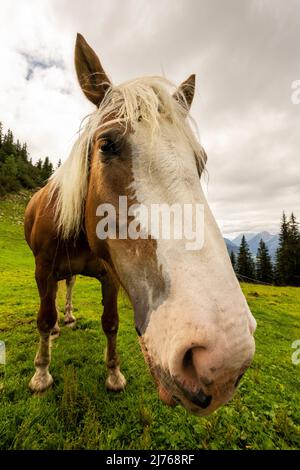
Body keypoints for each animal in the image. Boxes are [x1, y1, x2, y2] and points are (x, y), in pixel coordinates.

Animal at [24, 33, 256, 414]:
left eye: (201, 161)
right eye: (106, 144)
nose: (224, 360)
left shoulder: (109, 275)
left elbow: (110, 324)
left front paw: (114, 375)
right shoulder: (42, 269)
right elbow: (43, 319)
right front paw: (41, 374)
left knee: (68, 286)